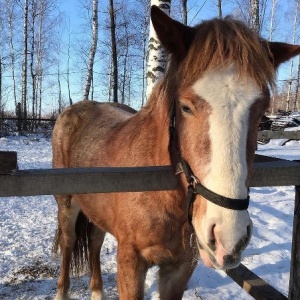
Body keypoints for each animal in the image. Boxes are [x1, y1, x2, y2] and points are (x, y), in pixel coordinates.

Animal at [51, 5, 300, 300]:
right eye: (185, 107)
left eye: (261, 112)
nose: (229, 236)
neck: (162, 194)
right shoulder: (130, 262)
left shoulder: (181, 267)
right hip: (67, 208)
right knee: (68, 246)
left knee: (94, 243)